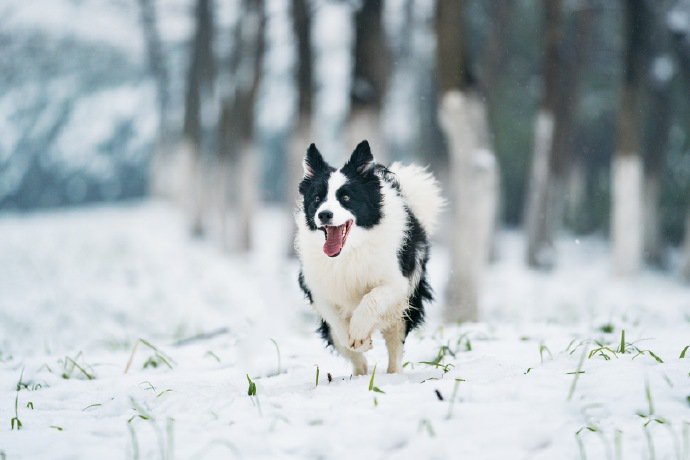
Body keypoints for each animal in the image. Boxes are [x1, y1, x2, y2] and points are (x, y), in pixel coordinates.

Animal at [294, 140, 444, 374]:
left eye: (346, 197)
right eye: (317, 198)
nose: (324, 214)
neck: (350, 250)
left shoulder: (396, 282)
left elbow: (371, 298)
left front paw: (358, 332)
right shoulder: (317, 288)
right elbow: (335, 320)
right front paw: (358, 340)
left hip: (405, 305)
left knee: (395, 343)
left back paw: (393, 373)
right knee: (349, 351)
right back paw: (360, 373)